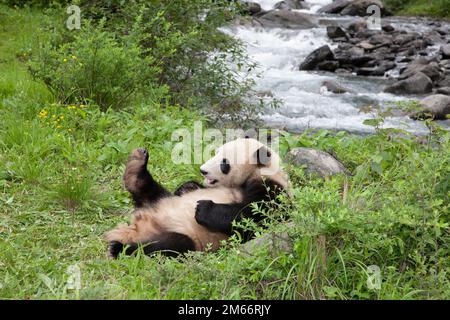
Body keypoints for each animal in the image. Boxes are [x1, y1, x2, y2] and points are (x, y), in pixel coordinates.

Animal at [105, 137, 288, 258]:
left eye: (224, 163)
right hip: (160, 200)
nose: (203, 170)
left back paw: (120, 248)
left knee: (167, 245)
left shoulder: (272, 189)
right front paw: (187, 187)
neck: (259, 171)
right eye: (216, 152)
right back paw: (136, 164)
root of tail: (136, 228)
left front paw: (202, 209)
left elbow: (255, 217)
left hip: (190, 239)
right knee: (150, 191)